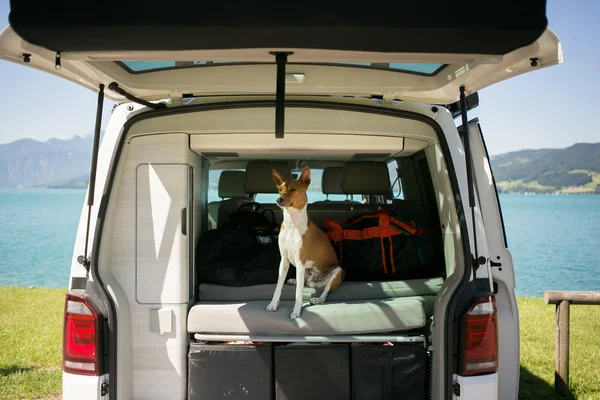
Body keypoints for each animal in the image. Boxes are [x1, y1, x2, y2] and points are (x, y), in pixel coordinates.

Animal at [266, 165, 344, 318]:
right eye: (280, 189)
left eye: (292, 189)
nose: (278, 200)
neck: (291, 224)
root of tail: (316, 283)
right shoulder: (284, 260)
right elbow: (278, 286)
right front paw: (273, 304)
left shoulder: (300, 262)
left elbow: (298, 293)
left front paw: (296, 311)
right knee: (304, 282)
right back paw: (294, 280)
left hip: (337, 271)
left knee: (324, 293)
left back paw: (316, 299)